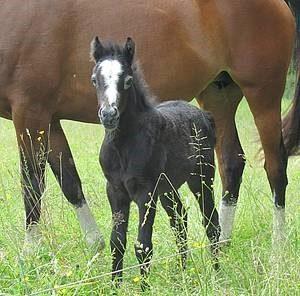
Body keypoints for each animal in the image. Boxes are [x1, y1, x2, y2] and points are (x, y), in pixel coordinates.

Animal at [90, 35, 219, 288]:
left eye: (128, 81)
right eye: (94, 80)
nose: (109, 115)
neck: (123, 145)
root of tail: (204, 115)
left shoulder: (145, 193)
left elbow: (143, 246)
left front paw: (144, 288)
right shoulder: (115, 191)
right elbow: (116, 242)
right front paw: (115, 287)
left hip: (201, 178)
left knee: (212, 222)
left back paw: (219, 272)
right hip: (168, 188)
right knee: (180, 221)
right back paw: (182, 273)